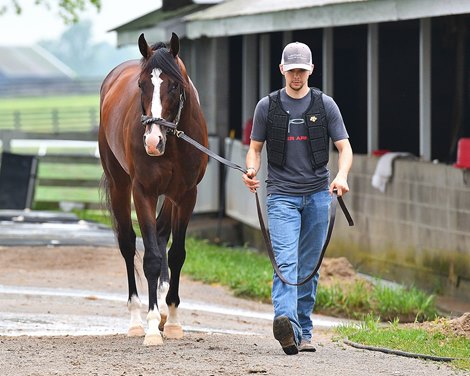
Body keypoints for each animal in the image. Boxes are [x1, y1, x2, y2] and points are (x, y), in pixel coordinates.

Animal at [98, 33, 207, 346]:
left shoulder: (186, 196)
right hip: (120, 186)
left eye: (175, 85)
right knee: (127, 243)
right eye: (141, 85)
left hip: (169, 197)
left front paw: (172, 320)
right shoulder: (143, 192)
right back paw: (136, 319)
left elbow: (176, 253)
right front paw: (150, 326)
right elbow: (150, 258)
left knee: (160, 233)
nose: (152, 141)